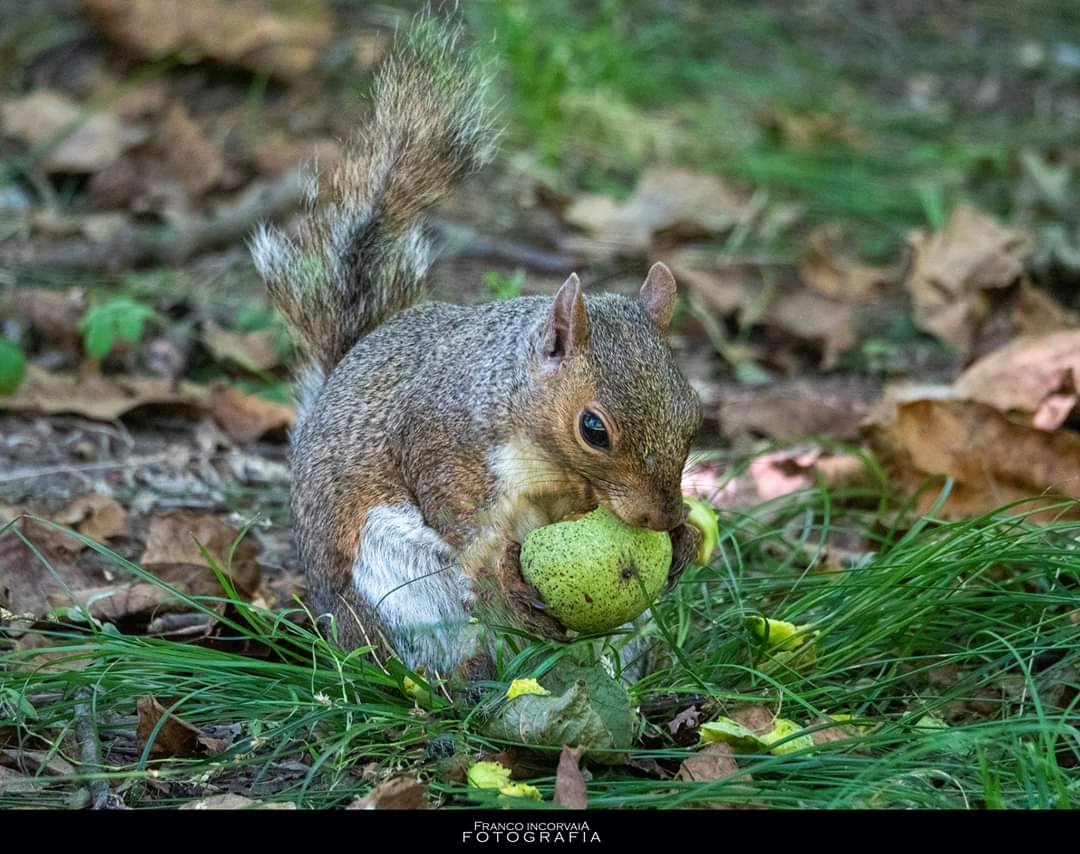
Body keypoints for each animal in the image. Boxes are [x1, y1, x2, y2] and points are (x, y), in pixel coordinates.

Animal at [250, 20, 703, 681]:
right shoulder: (441, 434)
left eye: (695, 415)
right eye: (593, 429)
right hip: (389, 589)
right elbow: (459, 517)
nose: (661, 519)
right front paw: (500, 573)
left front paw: (688, 541)